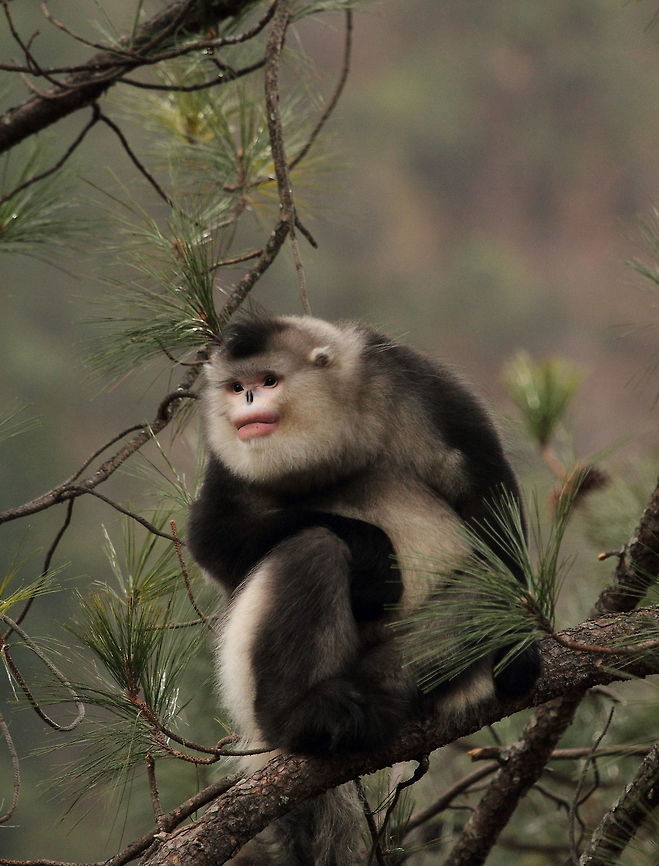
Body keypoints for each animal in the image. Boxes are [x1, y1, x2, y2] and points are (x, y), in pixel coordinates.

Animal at [187, 313, 541, 865]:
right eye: (233, 386)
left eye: (268, 380)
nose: (245, 401)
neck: (334, 439)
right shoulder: (230, 462)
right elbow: (214, 536)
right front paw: (373, 551)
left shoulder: (413, 383)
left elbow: (486, 497)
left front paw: (518, 649)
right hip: (247, 682)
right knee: (316, 546)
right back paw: (300, 716)